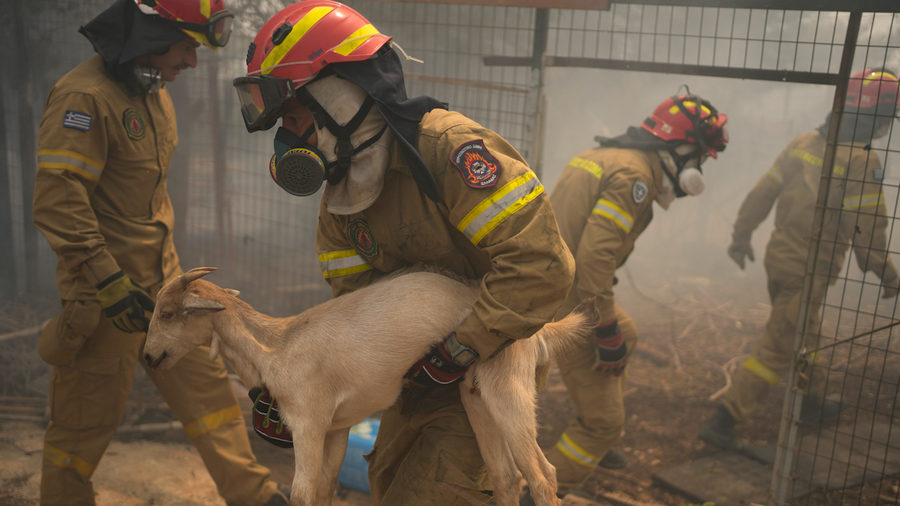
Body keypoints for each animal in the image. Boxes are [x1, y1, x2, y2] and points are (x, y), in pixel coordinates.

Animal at [143, 266, 598, 506]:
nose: (147, 357)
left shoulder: (307, 423)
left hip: (510, 392)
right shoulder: (337, 427)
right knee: (505, 477)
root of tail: (537, 328)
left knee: (543, 474)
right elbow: (324, 488)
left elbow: (302, 492)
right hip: (476, 397)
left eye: (167, 313)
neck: (279, 345)